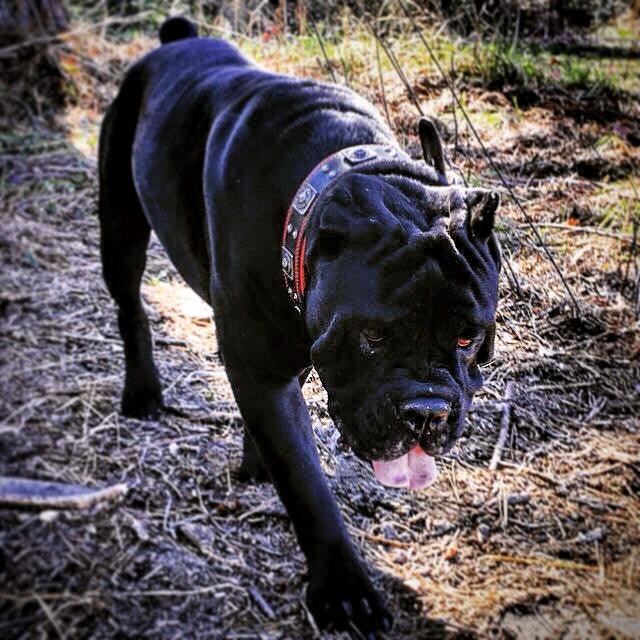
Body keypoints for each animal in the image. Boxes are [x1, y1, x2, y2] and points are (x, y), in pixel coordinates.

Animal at [99, 17, 500, 636]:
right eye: (372, 337)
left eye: (468, 337)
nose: (427, 411)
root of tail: (175, 40)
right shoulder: (261, 369)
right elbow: (306, 482)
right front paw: (345, 591)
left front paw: (257, 459)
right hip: (119, 224)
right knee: (130, 307)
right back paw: (141, 390)